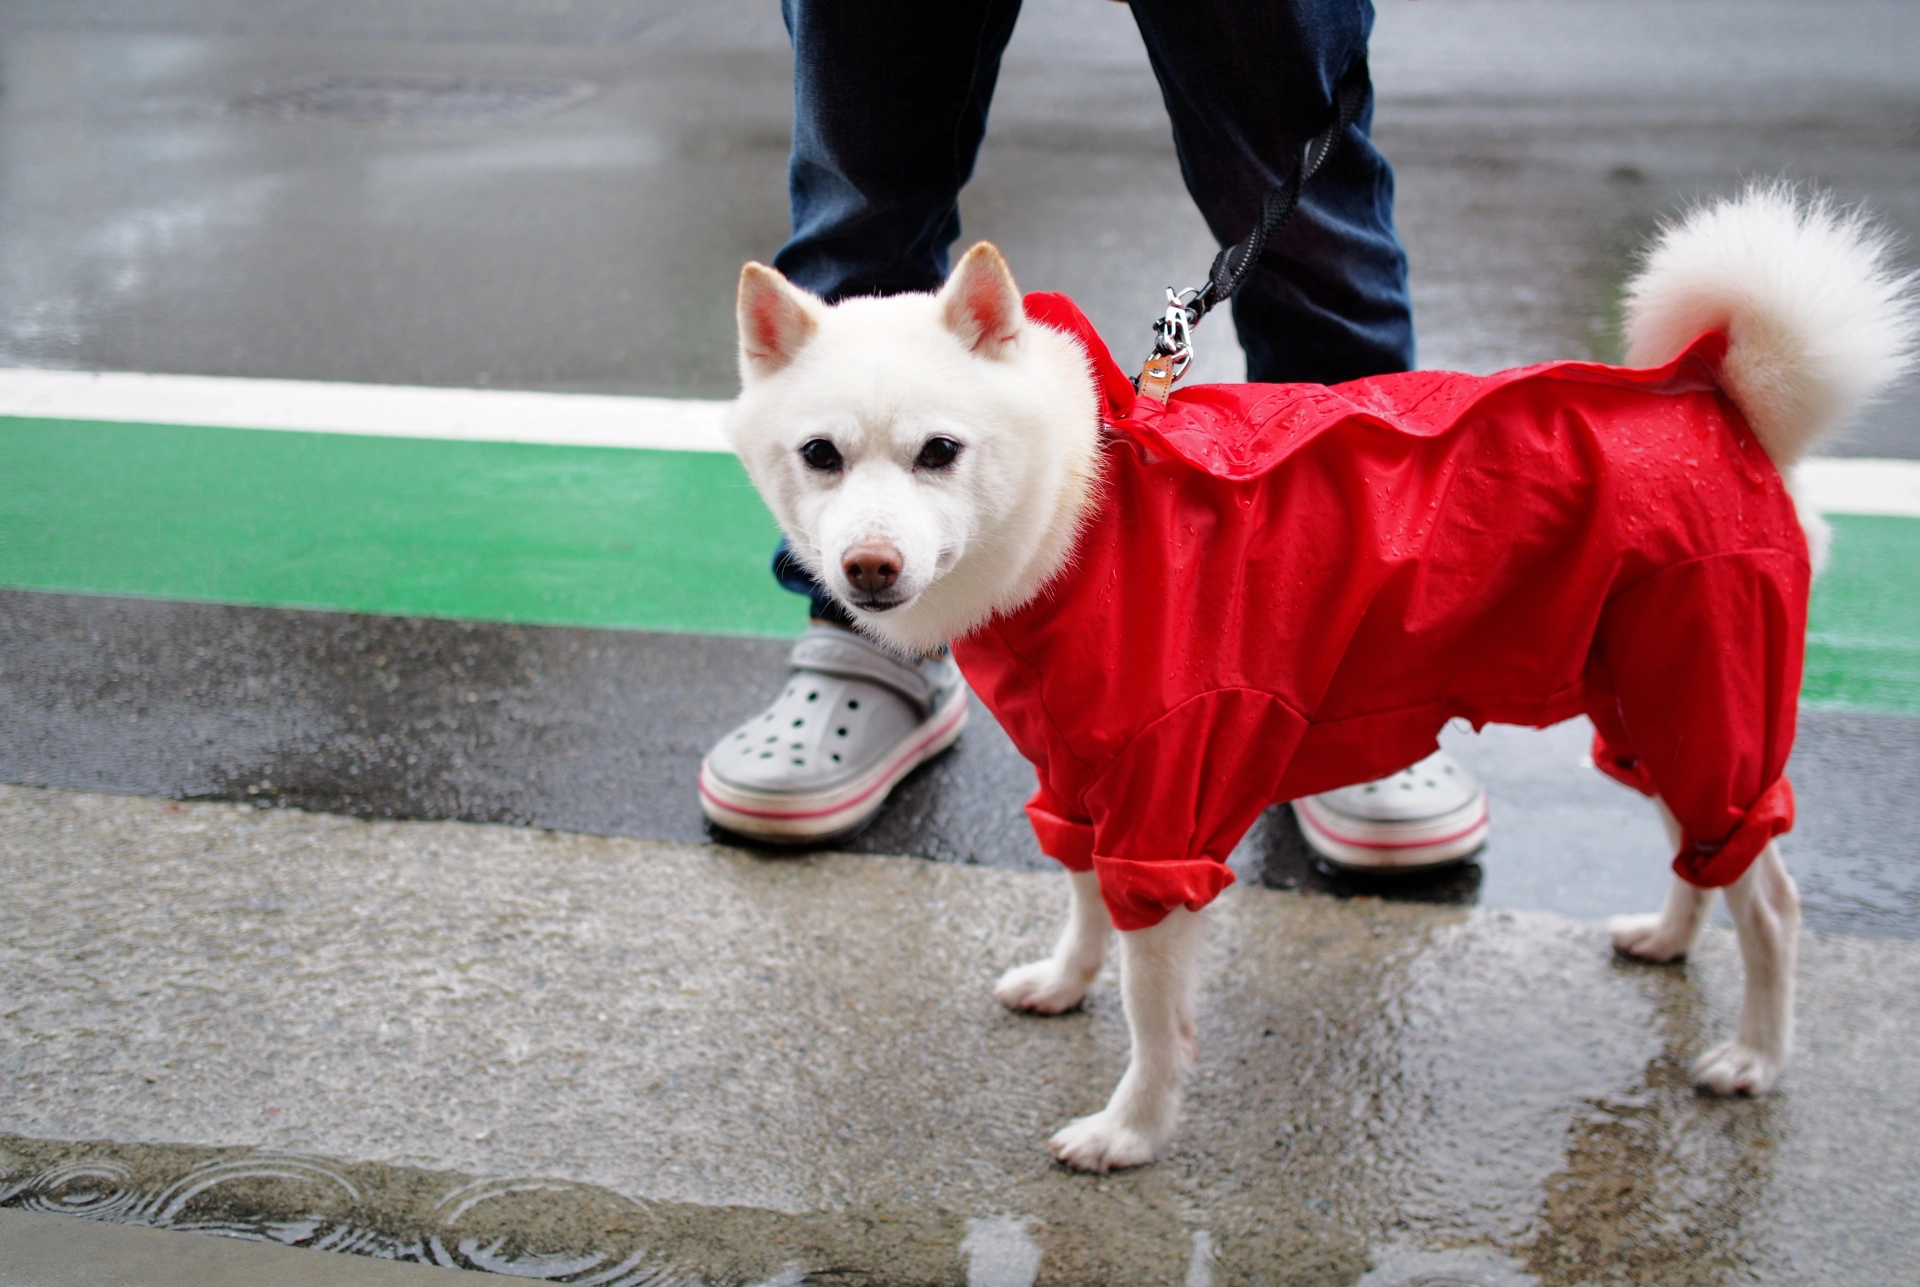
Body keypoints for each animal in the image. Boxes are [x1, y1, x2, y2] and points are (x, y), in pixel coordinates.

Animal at [725, 186, 1912, 1175]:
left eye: (940, 451)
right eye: (822, 455)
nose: (867, 570)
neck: (1083, 509)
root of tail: (1726, 408)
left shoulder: (1169, 807)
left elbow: (1154, 1012)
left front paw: (1132, 1131)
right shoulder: (1080, 778)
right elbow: (1083, 901)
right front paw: (1066, 984)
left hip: (1708, 692)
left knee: (1773, 899)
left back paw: (1755, 1057)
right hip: (1656, 700)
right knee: (1705, 851)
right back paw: (1669, 936)